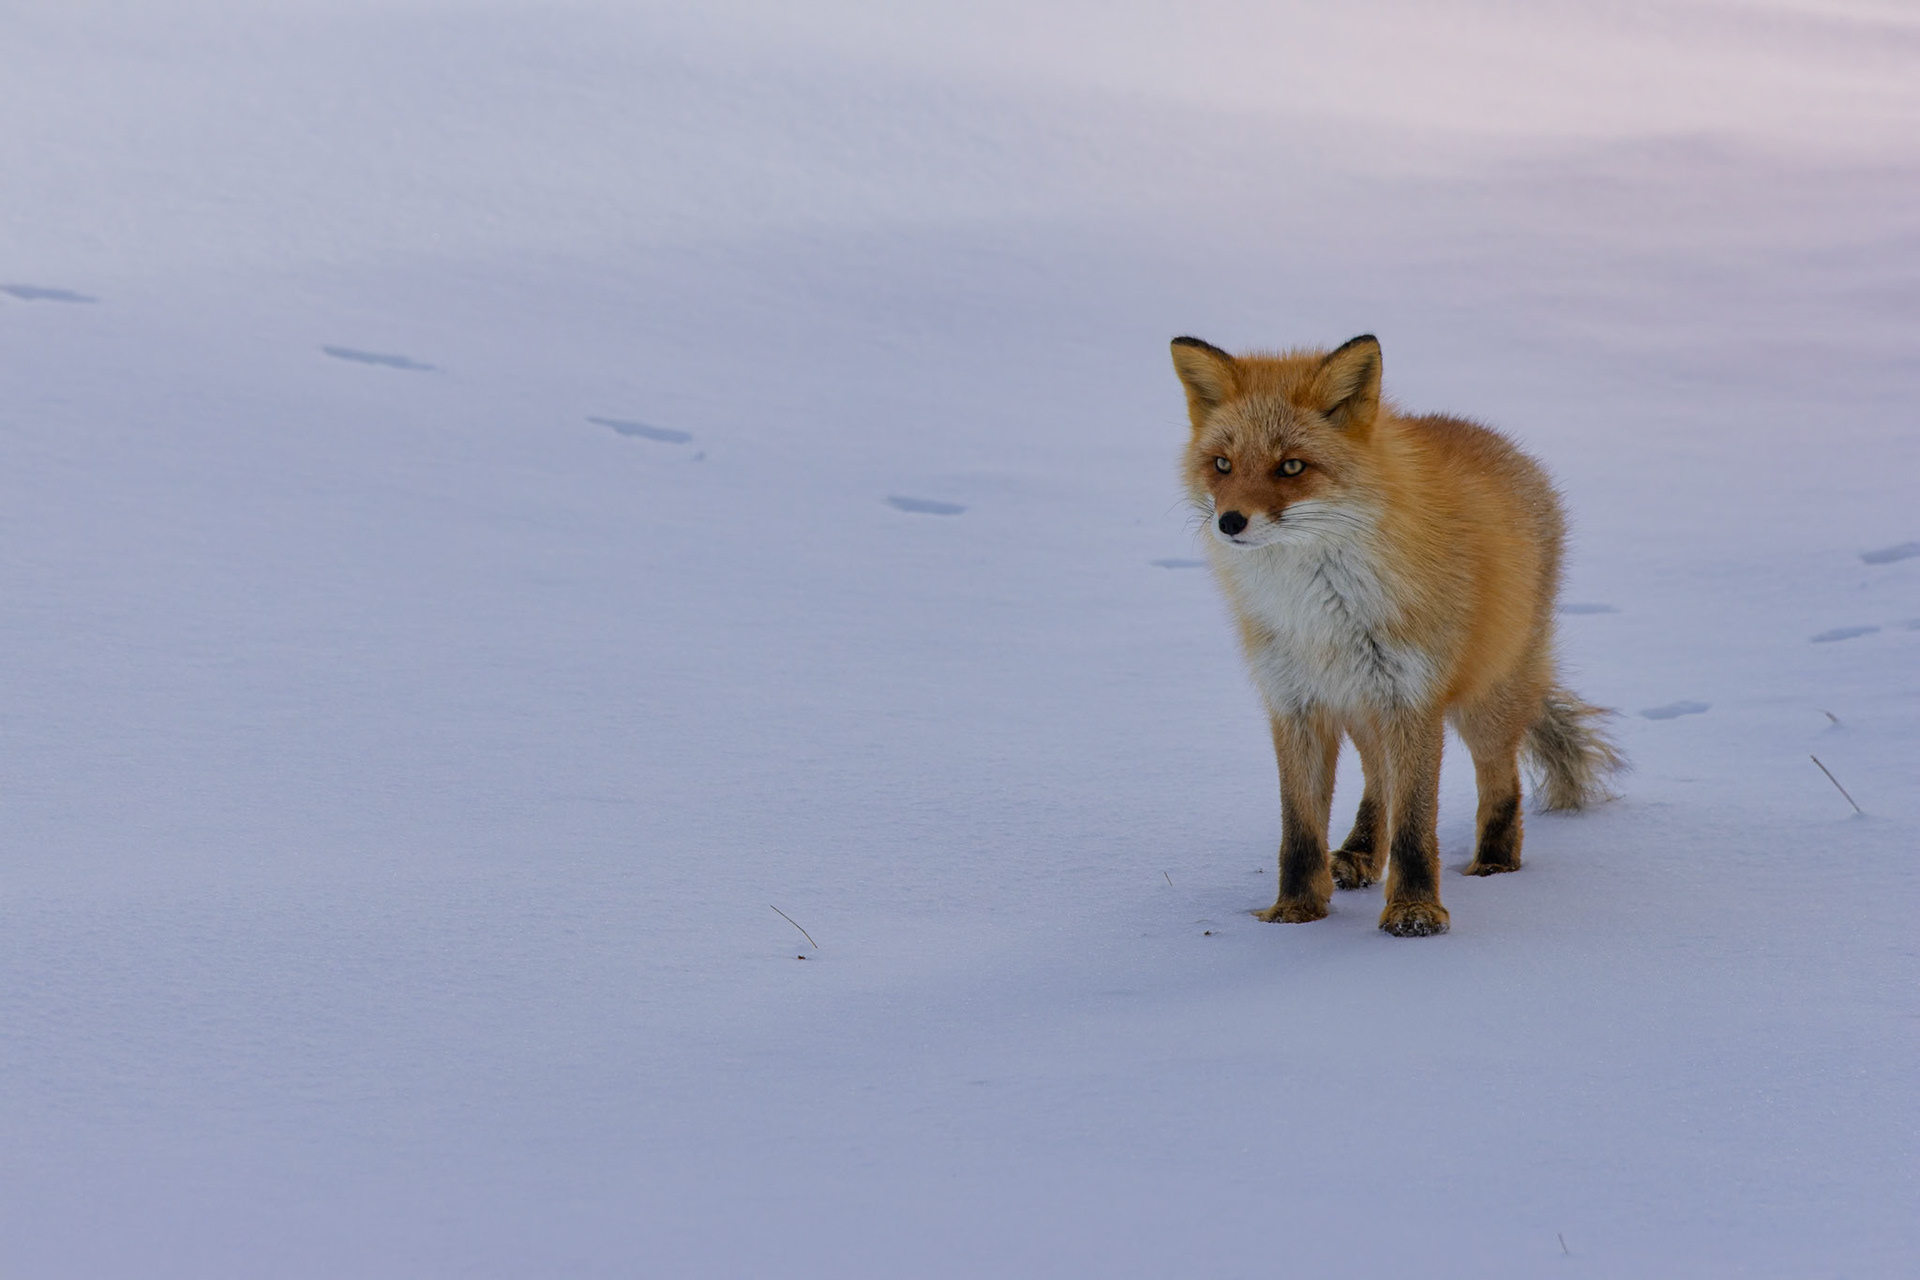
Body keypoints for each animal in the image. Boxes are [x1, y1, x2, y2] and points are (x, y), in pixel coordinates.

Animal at [1170, 333, 1623, 936]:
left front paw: (1414, 912)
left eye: (1292, 466)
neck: (1321, 612)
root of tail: (1504, 445)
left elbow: (1414, 827)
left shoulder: (1413, 697)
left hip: (1481, 705)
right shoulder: (1295, 702)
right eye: (1221, 464)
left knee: (1501, 783)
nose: (1230, 522)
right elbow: (1299, 830)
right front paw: (1296, 911)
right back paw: (1361, 852)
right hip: (1365, 707)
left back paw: (1495, 864)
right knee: (1377, 782)